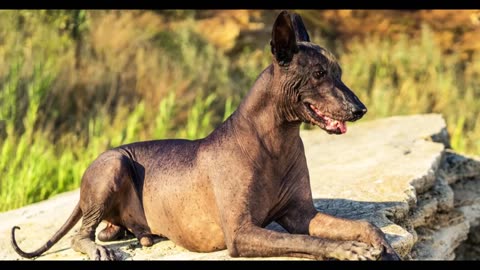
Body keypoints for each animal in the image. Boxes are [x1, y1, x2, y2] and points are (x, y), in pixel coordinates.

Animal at [12, 10, 402, 260]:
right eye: (319, 74)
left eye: (339, 72)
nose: (360, 109)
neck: (274, 141)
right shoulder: (241, 233)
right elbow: (312, 244)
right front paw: (348, 250)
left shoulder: (301, 214)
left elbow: (365, 225)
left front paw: (382, 246)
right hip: (113, 163)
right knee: (82, 234)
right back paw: (98, 247)